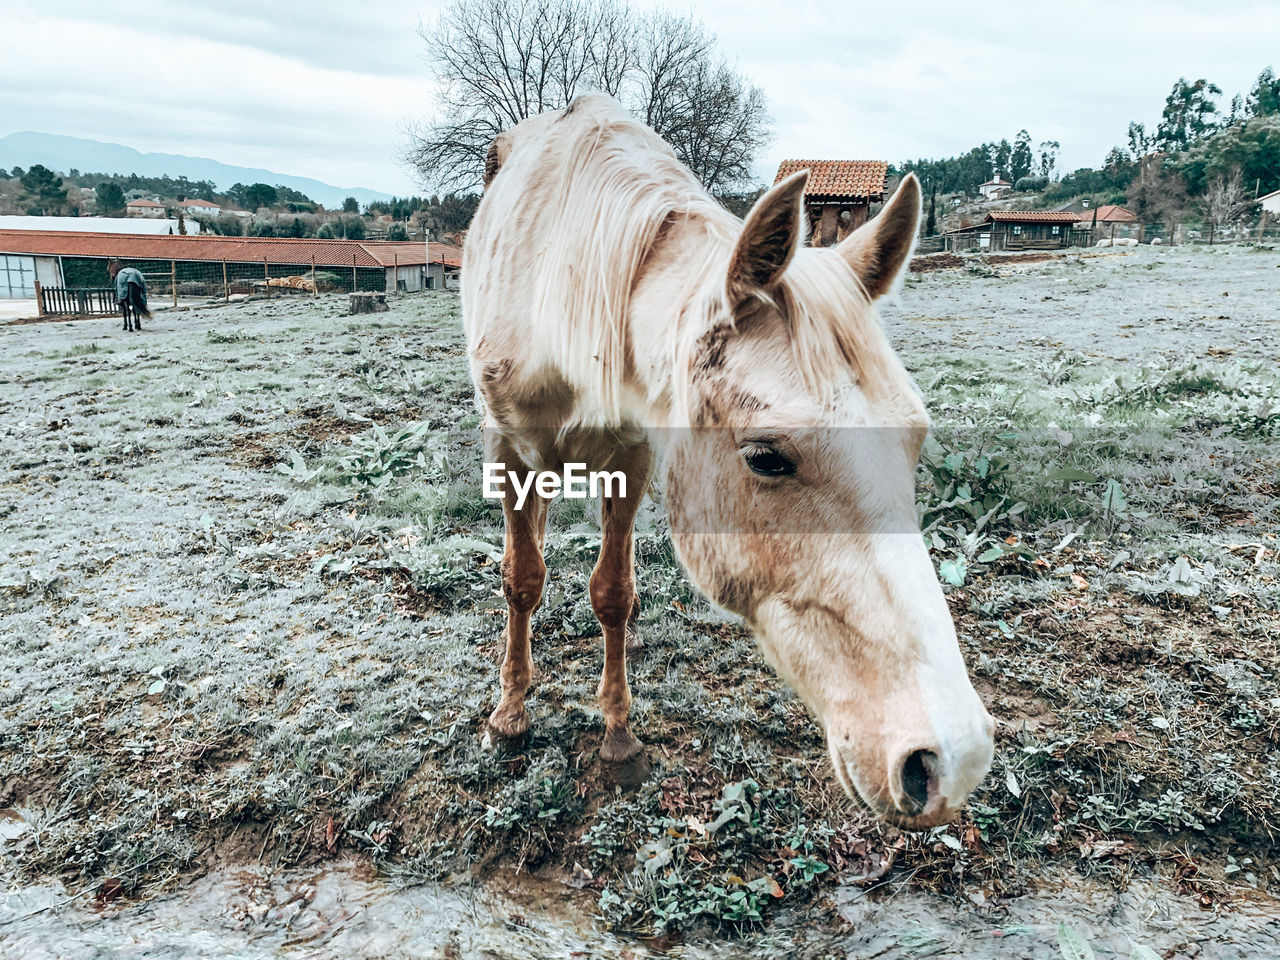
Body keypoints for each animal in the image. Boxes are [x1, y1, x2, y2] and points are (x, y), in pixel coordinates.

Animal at [465, 94, 993, 829]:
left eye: (915, 438)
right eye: (766, 457)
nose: (952, 758)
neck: (565, 285)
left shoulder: (636, 455)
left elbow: (613, 592)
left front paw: (618, 735)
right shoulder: (510, 448)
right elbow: (521, 581)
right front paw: (510, 717)